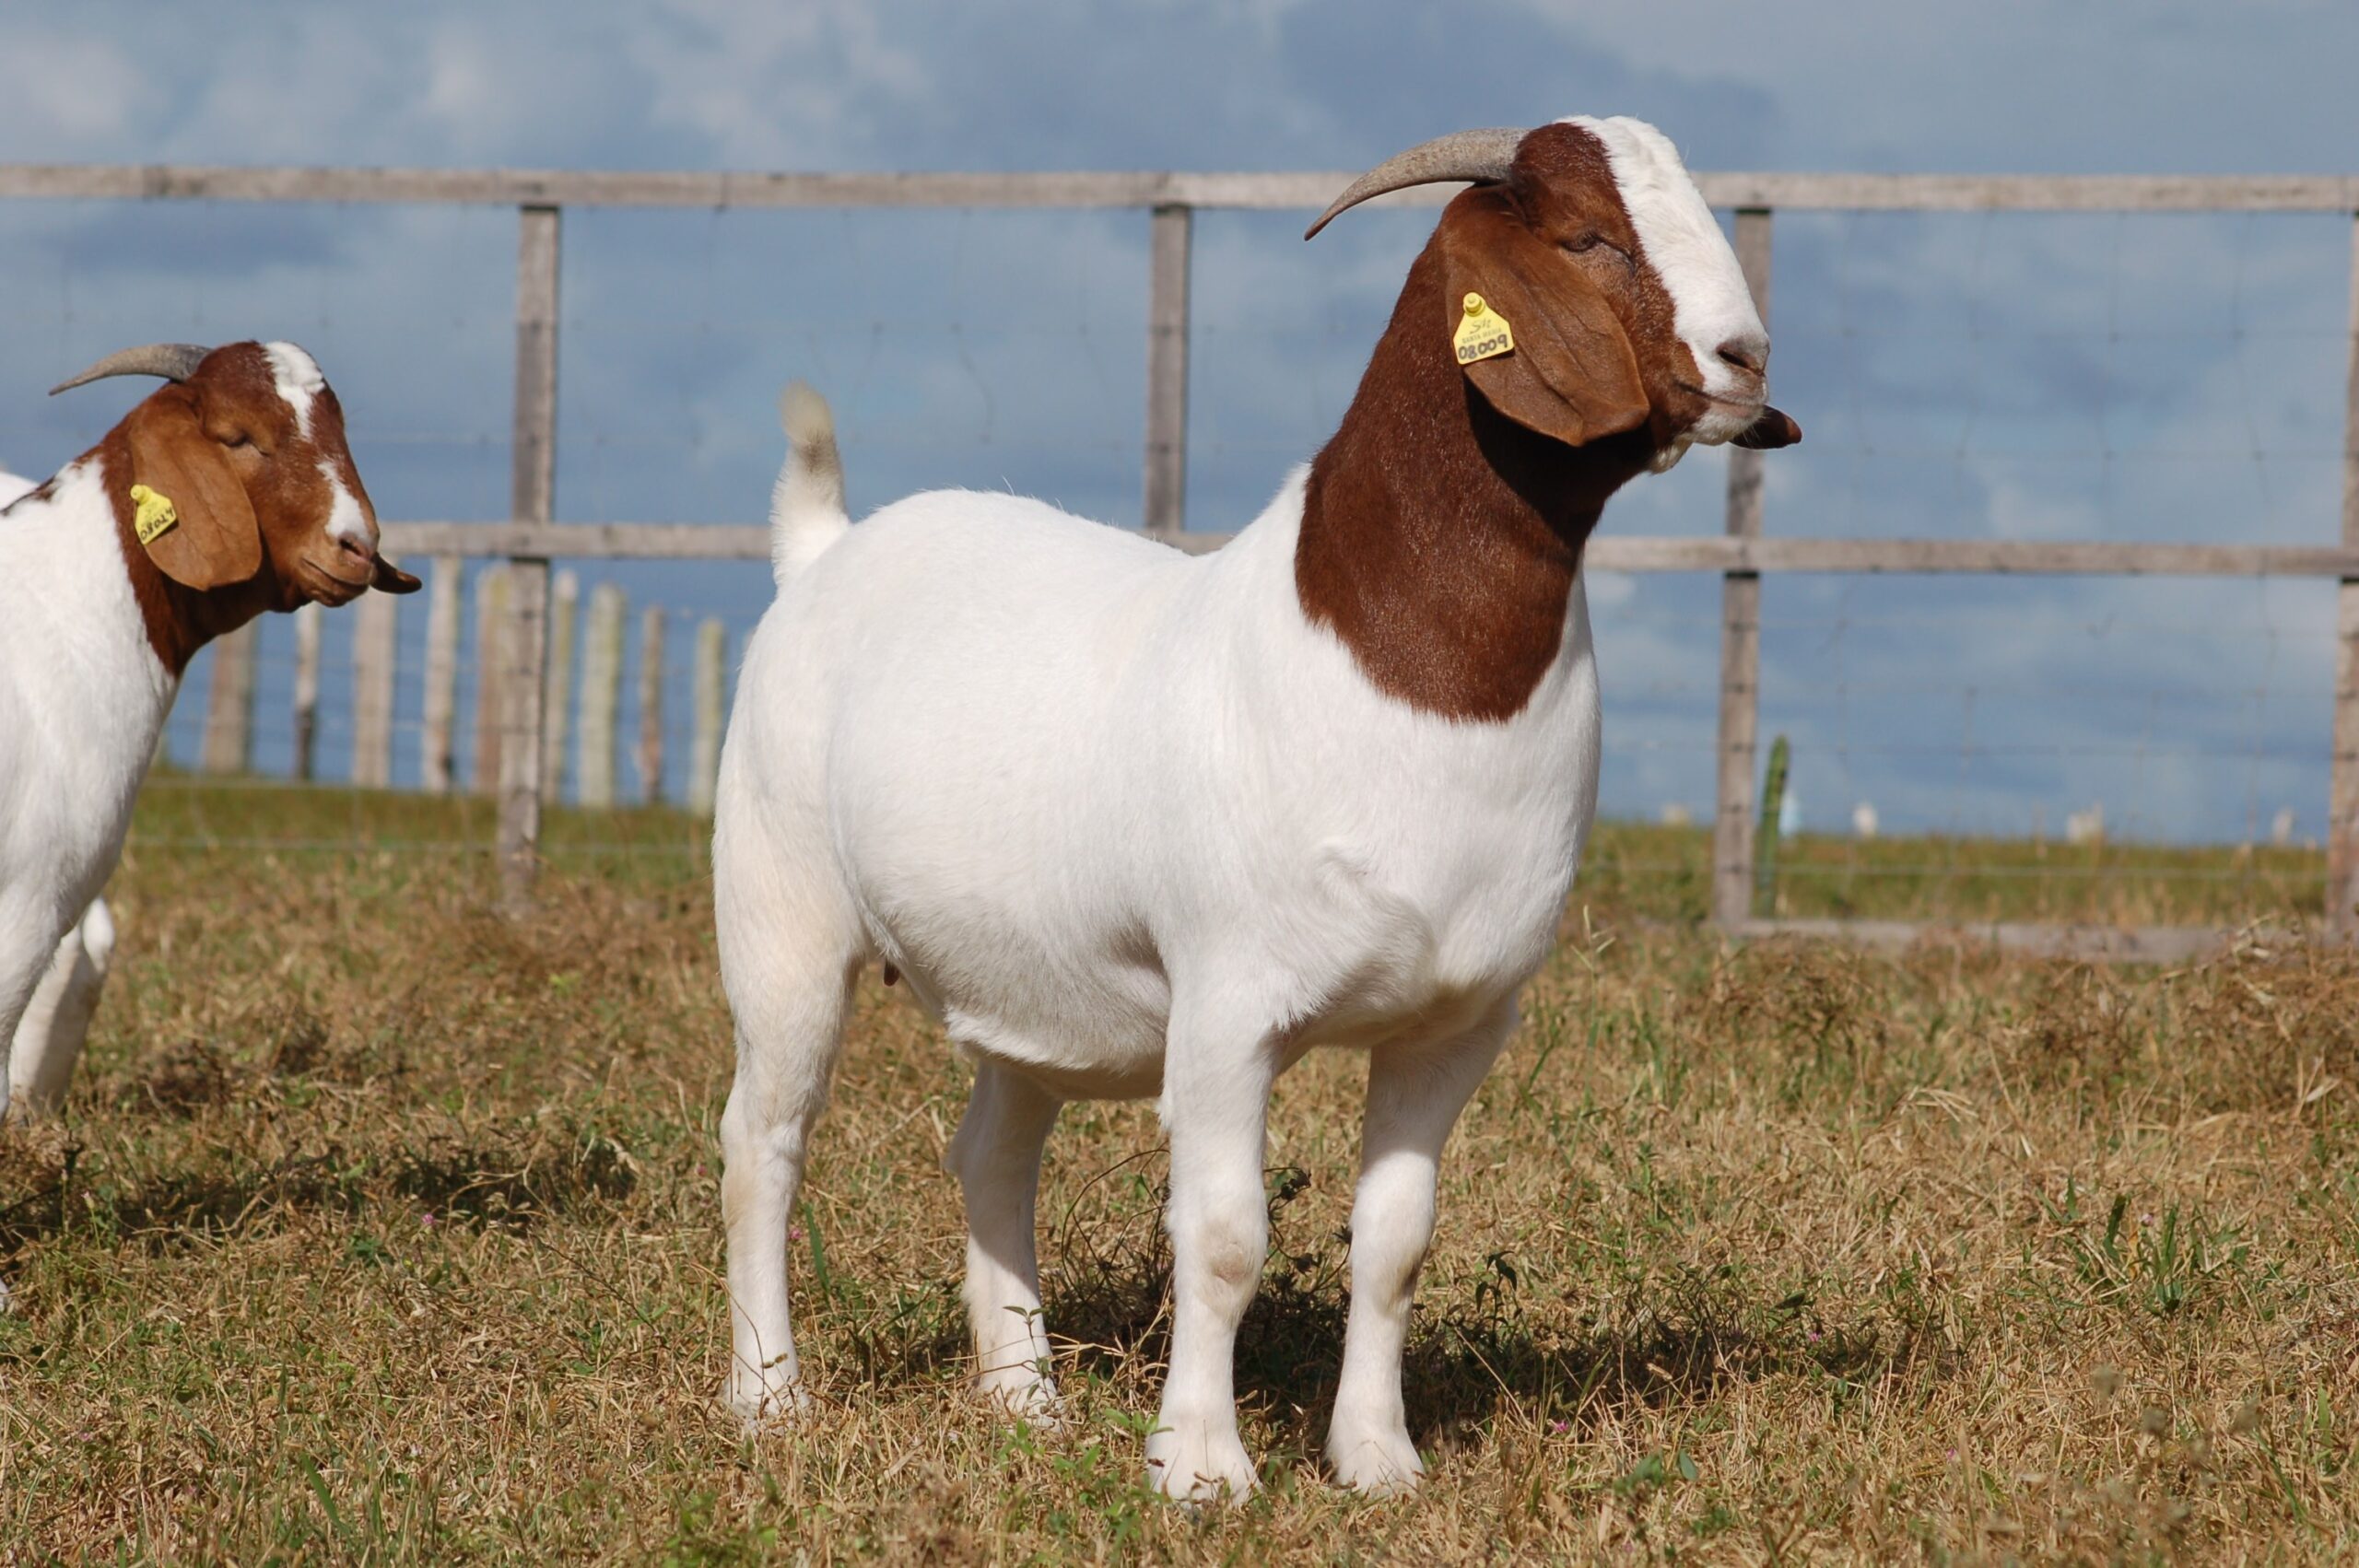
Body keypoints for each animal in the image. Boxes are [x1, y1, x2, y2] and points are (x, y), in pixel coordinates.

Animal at [712, 117, 1799, 1499]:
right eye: (1587, 235)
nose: (1745, 359)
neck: (1382, 655)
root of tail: (822, 550)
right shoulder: (1227, 1004)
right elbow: (1224, 1235)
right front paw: (1202, 1467)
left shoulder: (1459, 1020)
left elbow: (1395, 1239)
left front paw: (1377, 1458)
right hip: (782, 913)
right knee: (764, 1139)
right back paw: (771, 1401)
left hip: (1025, 975)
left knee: (992, 1152)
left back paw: (1025, 1401)